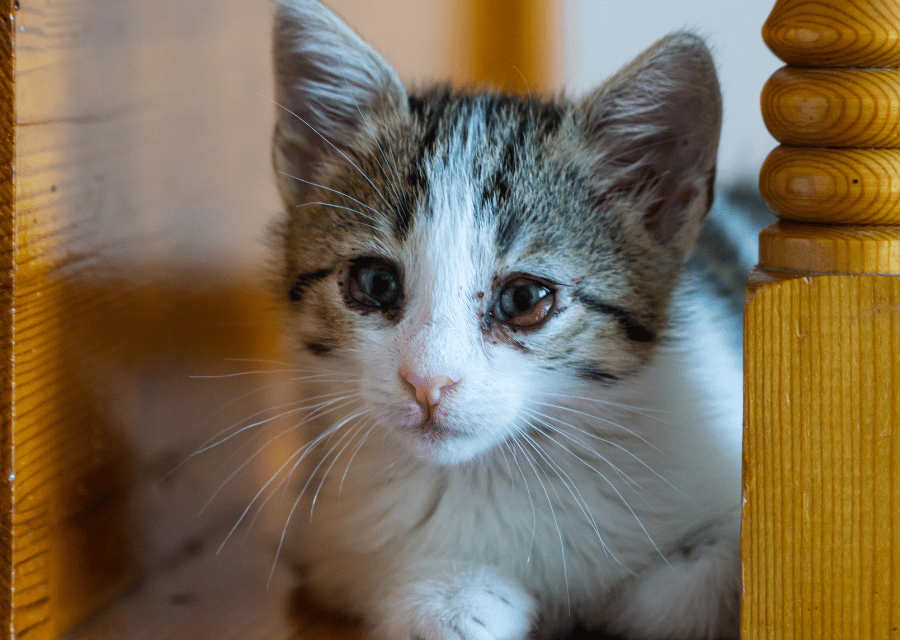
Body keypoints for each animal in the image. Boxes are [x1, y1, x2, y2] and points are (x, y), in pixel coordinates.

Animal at [270, 2, 740, 636]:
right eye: (375, 284)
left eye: (523, 299)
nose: (428, 383)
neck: (496, 473)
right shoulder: (324, 541)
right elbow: (431, 610)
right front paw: (456, 597)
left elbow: (702, 582)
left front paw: (619, 601)